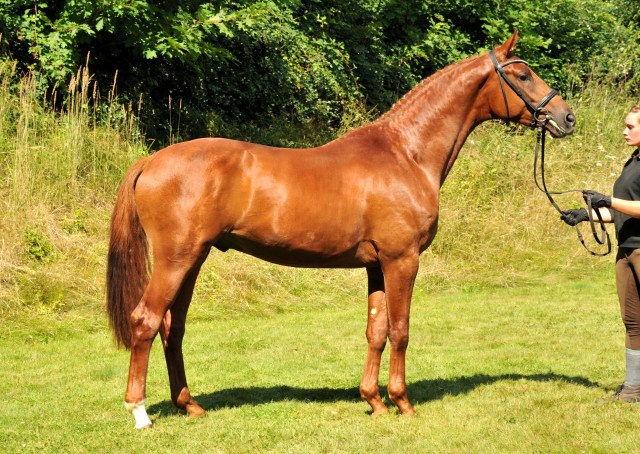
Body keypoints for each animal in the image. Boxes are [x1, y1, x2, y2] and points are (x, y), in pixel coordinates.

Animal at [106, 31, 576, 430]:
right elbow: (401, 330)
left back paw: (190, 405)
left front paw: (374, 401)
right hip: (177, 258)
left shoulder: (377, 265)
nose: (567, 117)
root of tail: (151, 160)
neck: (406, 153)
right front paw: (403, 403)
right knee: (146, 321)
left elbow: (376, 330)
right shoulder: (402, 260)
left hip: (193, 259)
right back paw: (140, 413)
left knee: (173, 328)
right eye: (522, 74)